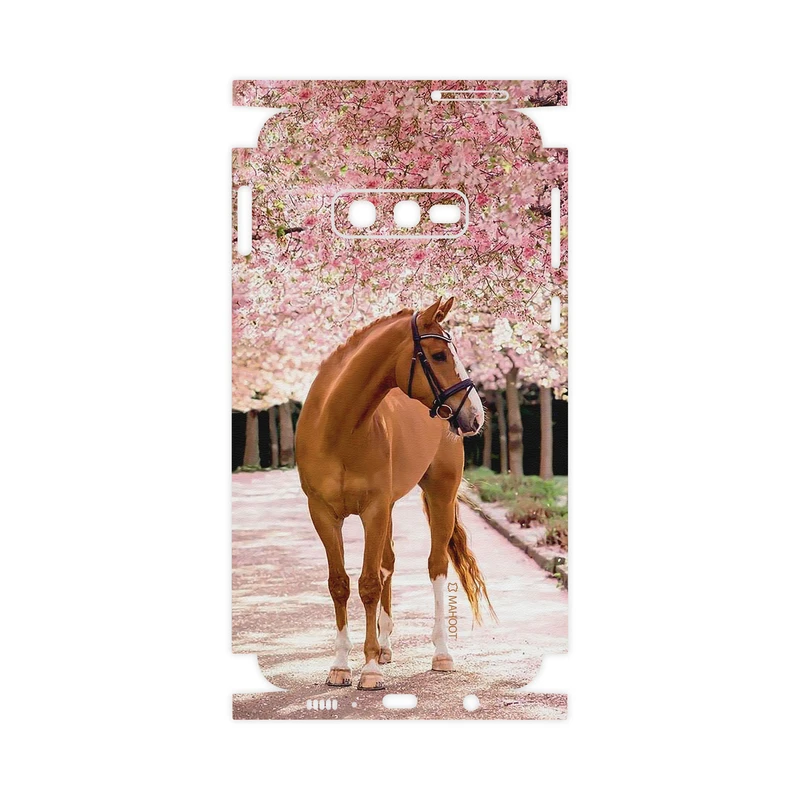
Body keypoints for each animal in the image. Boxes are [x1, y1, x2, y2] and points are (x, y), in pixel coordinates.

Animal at [295, 297, 494, 690]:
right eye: (438, 355)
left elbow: (369, 583)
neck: (338, 428)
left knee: (435, 566)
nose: (476, 416)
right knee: (388, 563)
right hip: (388, 508)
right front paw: (341, 665)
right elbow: (340, 583)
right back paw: (385, 646)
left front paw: (369, 669)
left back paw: (440, 653)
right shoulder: (323, 514)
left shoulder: (373, 510)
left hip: (439, 494)